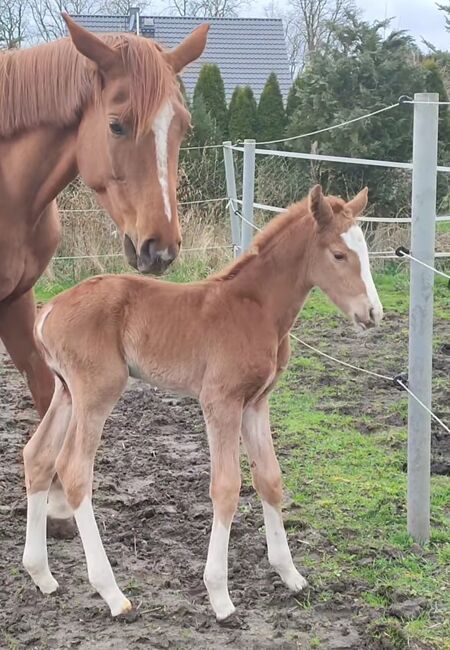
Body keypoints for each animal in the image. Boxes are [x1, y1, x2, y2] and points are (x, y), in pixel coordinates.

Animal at [22, 186, 384, 616]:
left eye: (365, 250)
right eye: (339, 255)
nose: (373, 313)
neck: (256, 307)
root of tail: (48, 310)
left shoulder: (256, 402)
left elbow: (270, 478)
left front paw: (289, 574)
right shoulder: (220, 401)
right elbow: (226, 487)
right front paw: (219, 595)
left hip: (65, 391)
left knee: (38, 455)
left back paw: (42, 575)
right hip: (96, 392)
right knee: (74, 468)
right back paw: (112, 592)